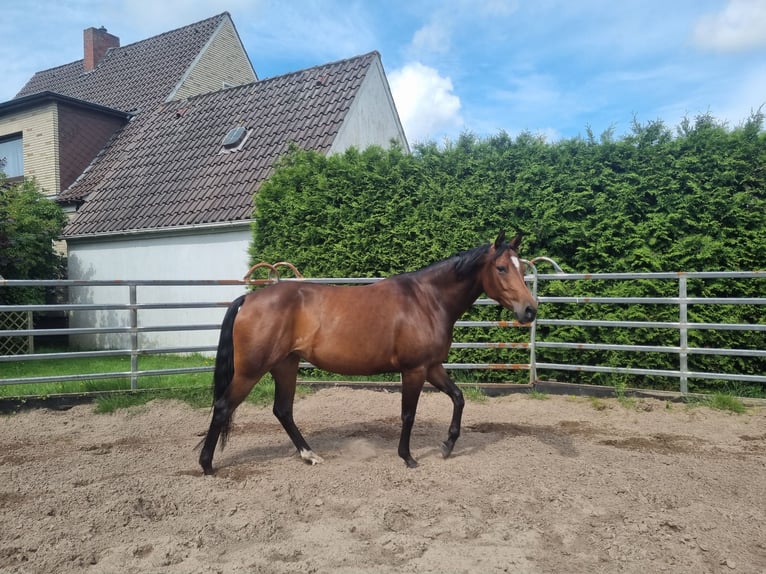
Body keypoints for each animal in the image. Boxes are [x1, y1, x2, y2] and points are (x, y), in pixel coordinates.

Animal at [198, 231, 538, 474]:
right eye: (501, 268)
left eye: (521, 268)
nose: (530, 310)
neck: (427, 300)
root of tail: (248, 299)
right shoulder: (414, 370)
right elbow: (408, 414)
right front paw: (408, 457)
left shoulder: (432, 367)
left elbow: (458, 397)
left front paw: (447, 446)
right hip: (251, 370)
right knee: (224, 406)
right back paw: (207, 464)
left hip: (285, 365)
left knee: (283, 410)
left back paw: (310, 455)